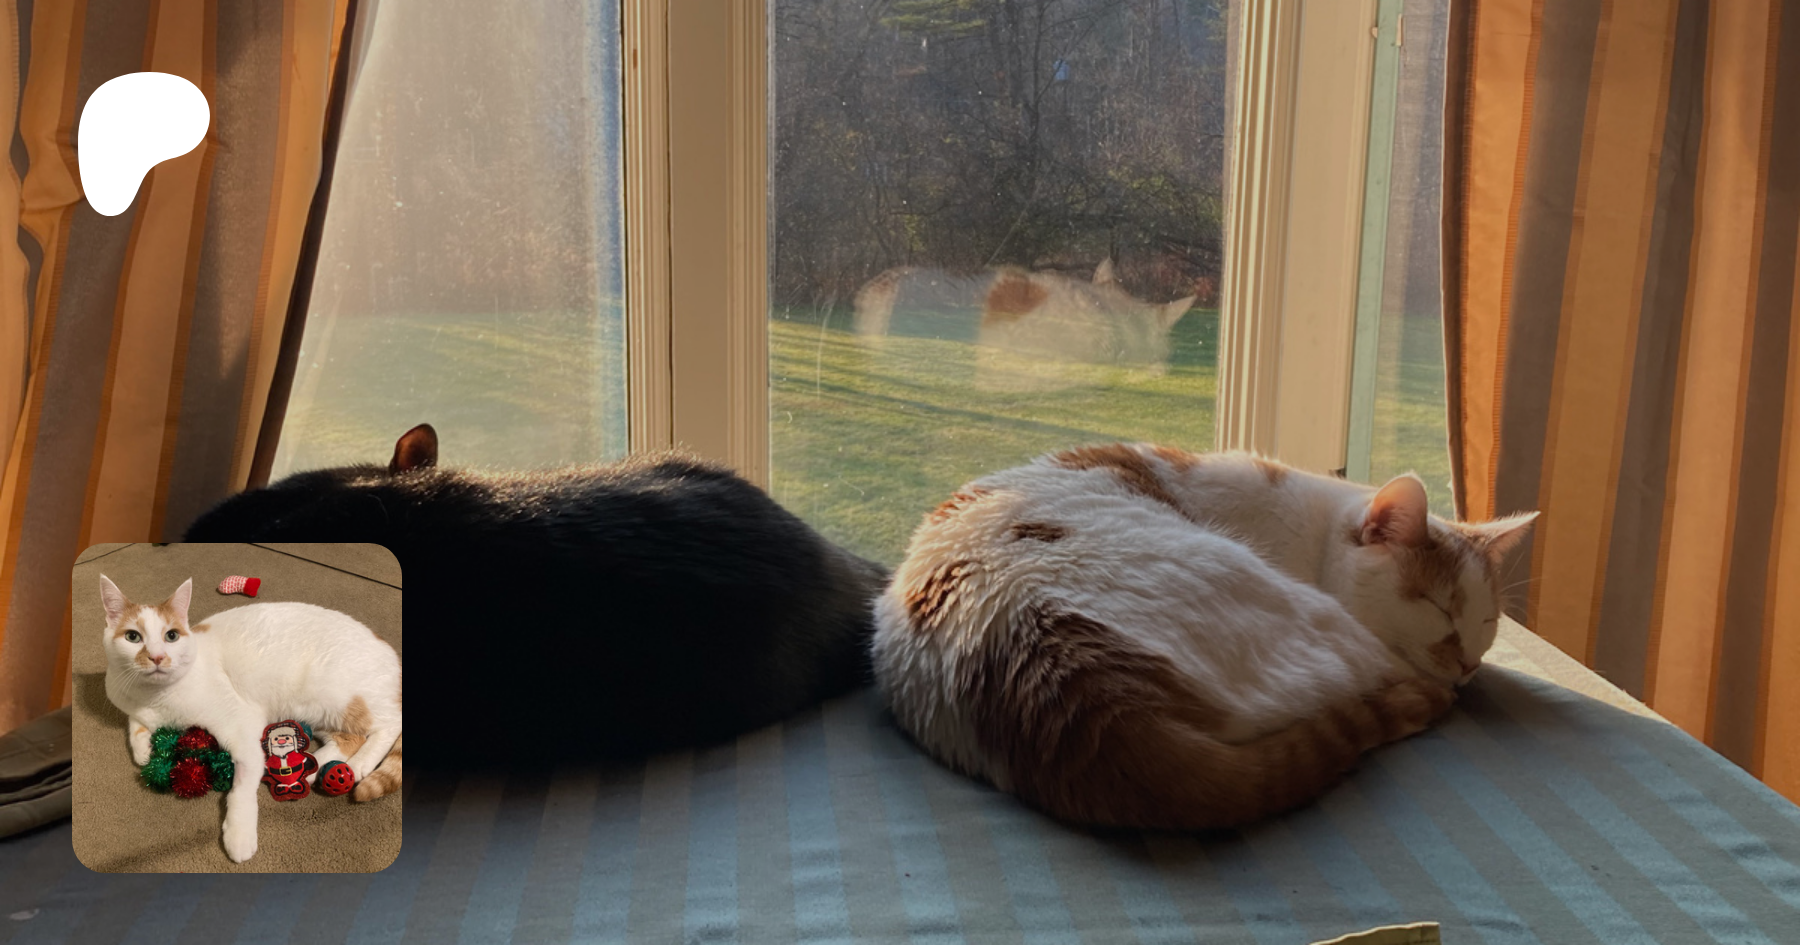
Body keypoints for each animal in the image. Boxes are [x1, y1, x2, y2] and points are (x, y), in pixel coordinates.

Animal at [99, 576, 402, 863]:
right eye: (133, 637)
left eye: (171, 636)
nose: (157, 657)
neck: (155, 698)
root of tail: (391, 653)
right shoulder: (129, 703)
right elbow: (135, 725)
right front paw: (144, 751)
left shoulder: (242, 726)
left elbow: (242, 789)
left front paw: (239, 835)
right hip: (313, 712)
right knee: (349, 739)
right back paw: (308, 768)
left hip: (335, 695)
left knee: (390, 724)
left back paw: (359, 765)